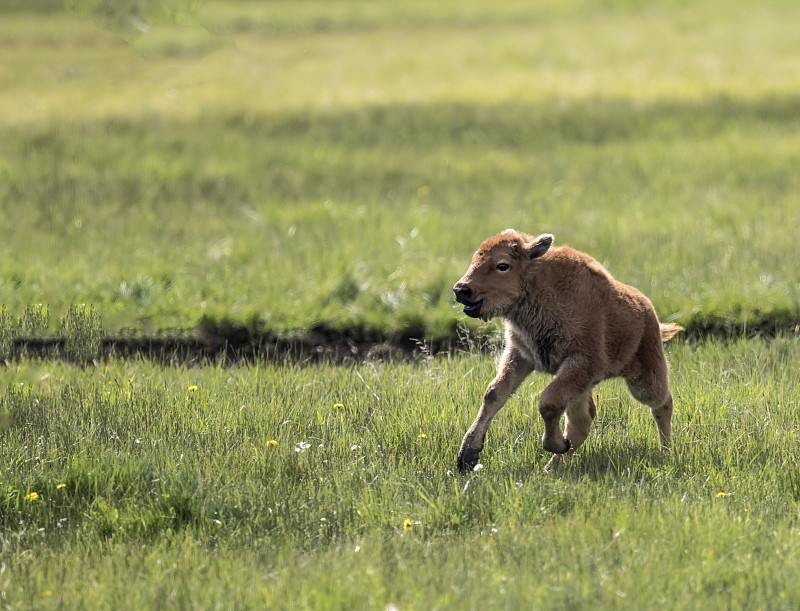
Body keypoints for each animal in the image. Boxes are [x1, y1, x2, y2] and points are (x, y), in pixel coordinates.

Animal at [454, 230, 684, 474]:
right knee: (582, 421)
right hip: (584, 386)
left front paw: (555, 444)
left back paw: (666, 451)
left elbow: (548, 402)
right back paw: (551, 467)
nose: (461, 290)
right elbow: (494, 394)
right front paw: (467, 455)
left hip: (644, 380)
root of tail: (649, 310)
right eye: (475, 259)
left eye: (502, 265)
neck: (538, 283)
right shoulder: (521, 356)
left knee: (663, 403)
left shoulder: (580, 362)